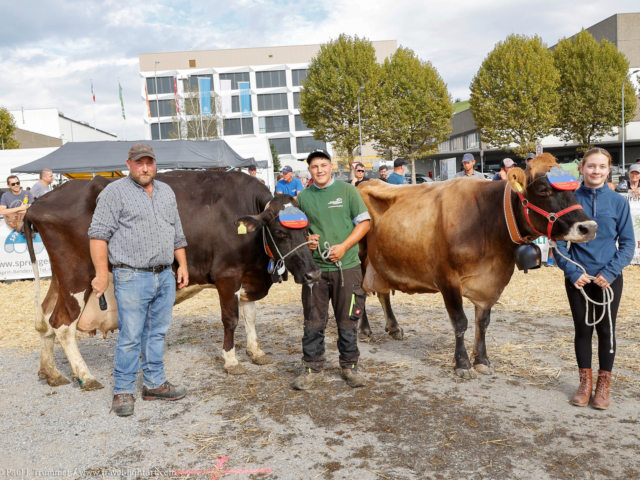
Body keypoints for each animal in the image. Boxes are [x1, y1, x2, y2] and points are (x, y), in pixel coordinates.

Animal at [358, 155, 596, 378]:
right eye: (543, 189)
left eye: (575, 187)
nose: (590, 227)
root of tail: (364, 182)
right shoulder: (447, 279)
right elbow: (460, 322)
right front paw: (462, 363)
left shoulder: (491, 281)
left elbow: (483, 322)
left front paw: (481, 360)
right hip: (359, 258)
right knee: (360, 293)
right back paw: (364, 329)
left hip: (379, 262)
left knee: (382, 292)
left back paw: (394, 327)